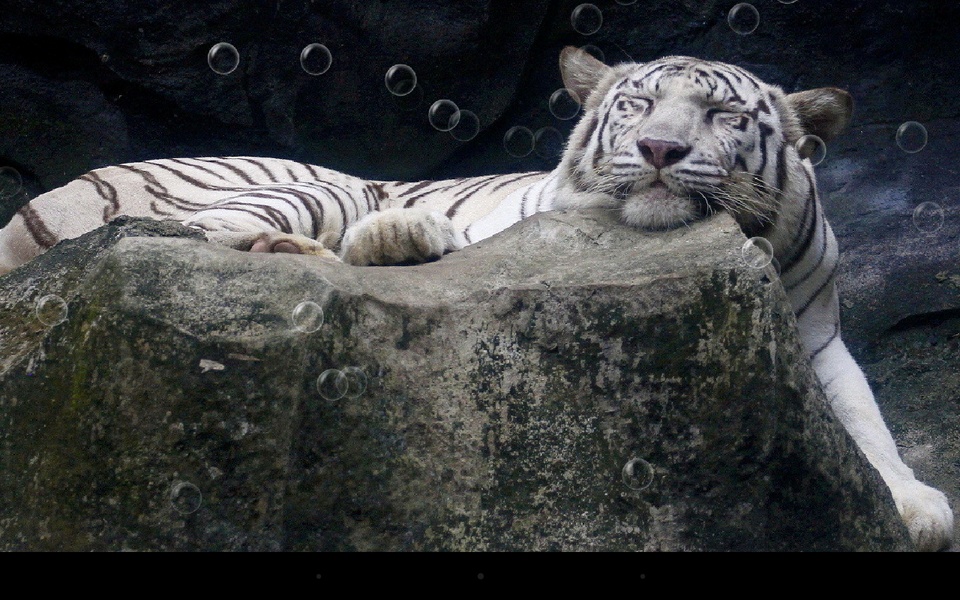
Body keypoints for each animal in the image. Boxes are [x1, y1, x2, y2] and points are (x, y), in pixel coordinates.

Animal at [0, 47, 952, 551]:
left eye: (722, 116)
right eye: (639, 104)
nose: (659, 150)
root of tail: (50, 197)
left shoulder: (816, 334)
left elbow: (867, 424)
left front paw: (914, 506)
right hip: (302, 184)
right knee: (213, 236)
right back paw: (374, 239)